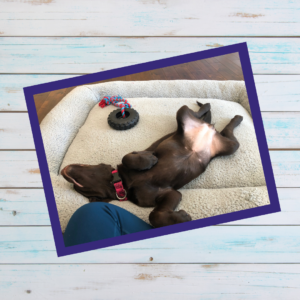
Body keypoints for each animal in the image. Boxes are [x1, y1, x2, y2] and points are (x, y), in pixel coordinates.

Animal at [61, 102, 241, 227]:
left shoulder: (141, 152)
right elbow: (154, 215)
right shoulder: (170, 193)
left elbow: (127, 157)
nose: (64, 170)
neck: (123, 184)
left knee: (201, 109)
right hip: (228, 146)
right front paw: (181, 217)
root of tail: (208, 129)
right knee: (226, 132)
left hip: (184, 114)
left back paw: (229, 115)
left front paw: (150, 160)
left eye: (85, 166)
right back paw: (234, 119)